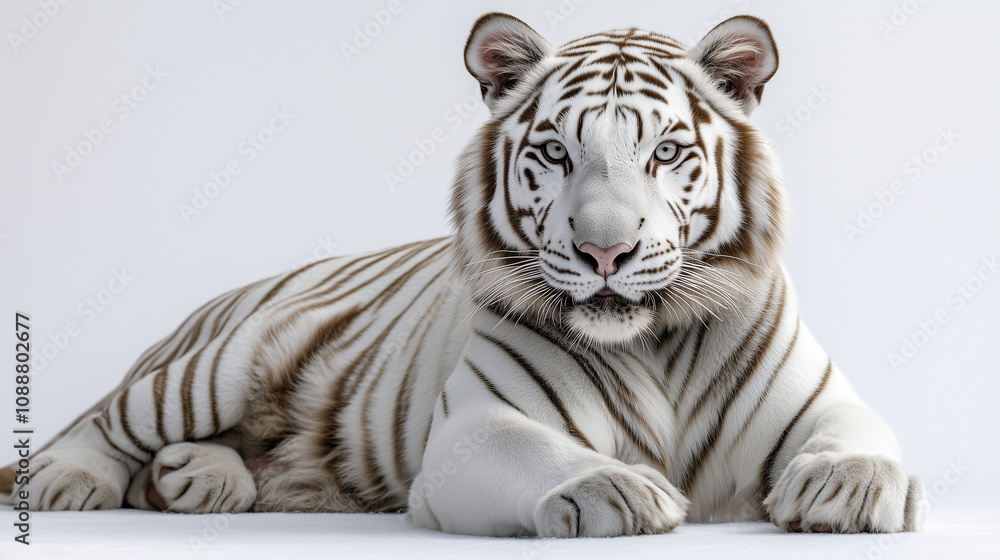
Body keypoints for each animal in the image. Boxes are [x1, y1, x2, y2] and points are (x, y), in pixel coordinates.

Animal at [1, 13, 926, 537]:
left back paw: (200, 479)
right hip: (215, 366)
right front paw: (619, 490)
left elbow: (858, 433)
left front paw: (851, 487)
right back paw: (68, 480)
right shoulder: (474, 428)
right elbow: (547, 453)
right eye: (557, 153)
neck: (652, 341)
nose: (605, 254)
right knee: (106, 419)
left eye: (666, 153)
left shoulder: (821, 398)